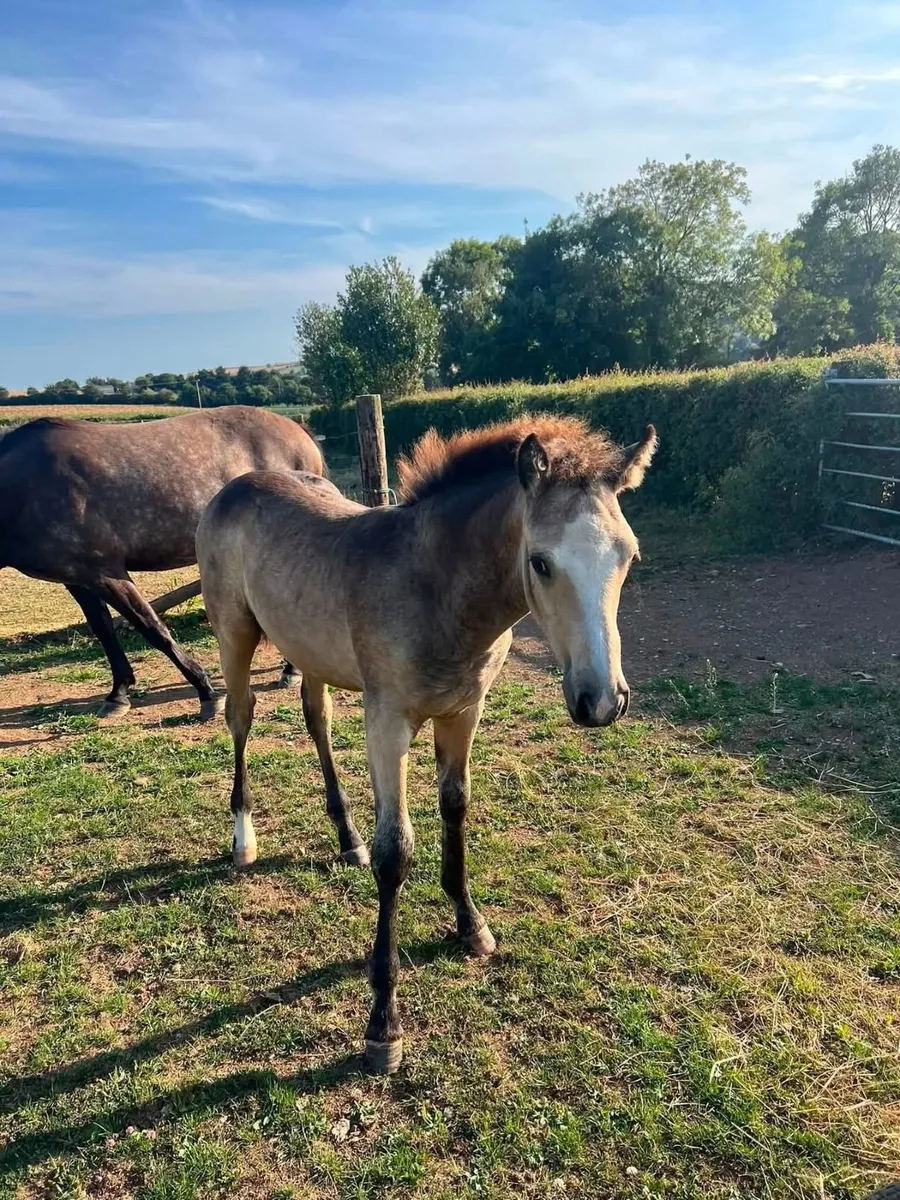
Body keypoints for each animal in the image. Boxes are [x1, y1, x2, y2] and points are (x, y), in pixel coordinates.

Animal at [0, 406, 322, 718]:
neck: (26, 484)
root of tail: (296, 429)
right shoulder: (78, 579)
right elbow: (104, 631)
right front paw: (118, 694)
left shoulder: (106, 572)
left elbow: (152, 628)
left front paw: (206, 693)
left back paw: (291, 671)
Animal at [195, 414, 657, 1073]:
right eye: (541, 563)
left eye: (629, 556)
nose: (601, 701)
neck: (436, 589)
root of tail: (234, 487)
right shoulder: (387, 722)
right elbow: (397, 852)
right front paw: (382, 1024)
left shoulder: (463, 713)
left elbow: (455, 809)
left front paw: (470, 925)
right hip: (235, 632)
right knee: (241, 719)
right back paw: (244, 840)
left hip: (310, 650)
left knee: (317, 718)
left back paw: (347, 837)